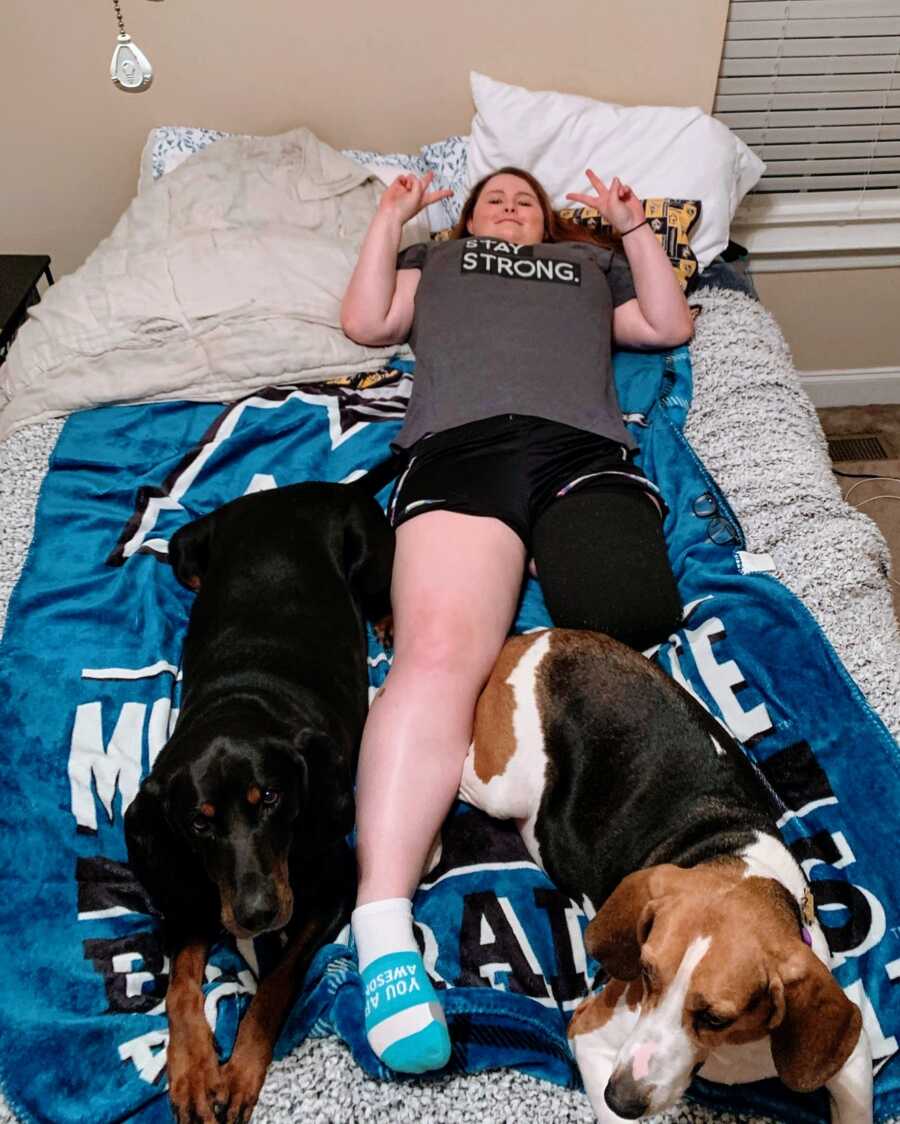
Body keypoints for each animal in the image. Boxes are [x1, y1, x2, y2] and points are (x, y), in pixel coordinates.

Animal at [124, 481, 391, 1124]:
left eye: (270, 796)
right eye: (198, 823)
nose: (256, 914)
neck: (238, 702)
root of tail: (316, 488)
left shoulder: (334, 886)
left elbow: (275, 985)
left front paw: (240, 1072)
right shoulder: (187, 890)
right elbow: (180, 985)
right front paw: (194, 1072)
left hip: (373, 553)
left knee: (380, 594)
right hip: (185, 547)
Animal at [460, 629, 867, 1119]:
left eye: (715, 1018)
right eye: (647, 972)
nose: (622, 1098)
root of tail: (538, 637)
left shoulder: (854, 1055)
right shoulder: (590, 1035)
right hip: (500, 788)